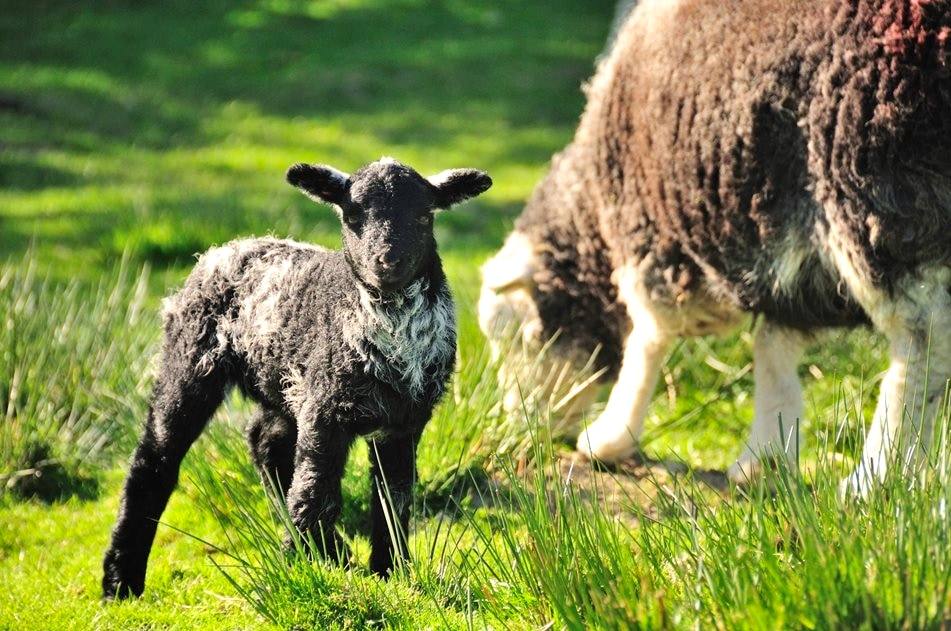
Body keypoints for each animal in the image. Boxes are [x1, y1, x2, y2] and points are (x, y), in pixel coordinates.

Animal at [101, 157, 492, 599]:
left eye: (425, 216)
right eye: (352, 214)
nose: (387, 261)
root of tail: (225, 249)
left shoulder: (404, 421)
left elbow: (394, 497)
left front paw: (390, 571)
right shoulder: (326, 408)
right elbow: (317, 489)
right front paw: (305, 565)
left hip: (283, 383)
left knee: (265, 442)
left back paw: (331, 548)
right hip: (191, 357)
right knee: (155, 457)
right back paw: (121, 579)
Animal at [479, 0, 951, 496]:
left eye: (518, 338)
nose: (520, 428)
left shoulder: (650, 233)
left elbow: (648, 340)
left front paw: (609, 439)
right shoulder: (792, 266)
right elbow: (772, 350)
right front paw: (763, 460)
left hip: (872, 182)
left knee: (925, 340)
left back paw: (876, 478)